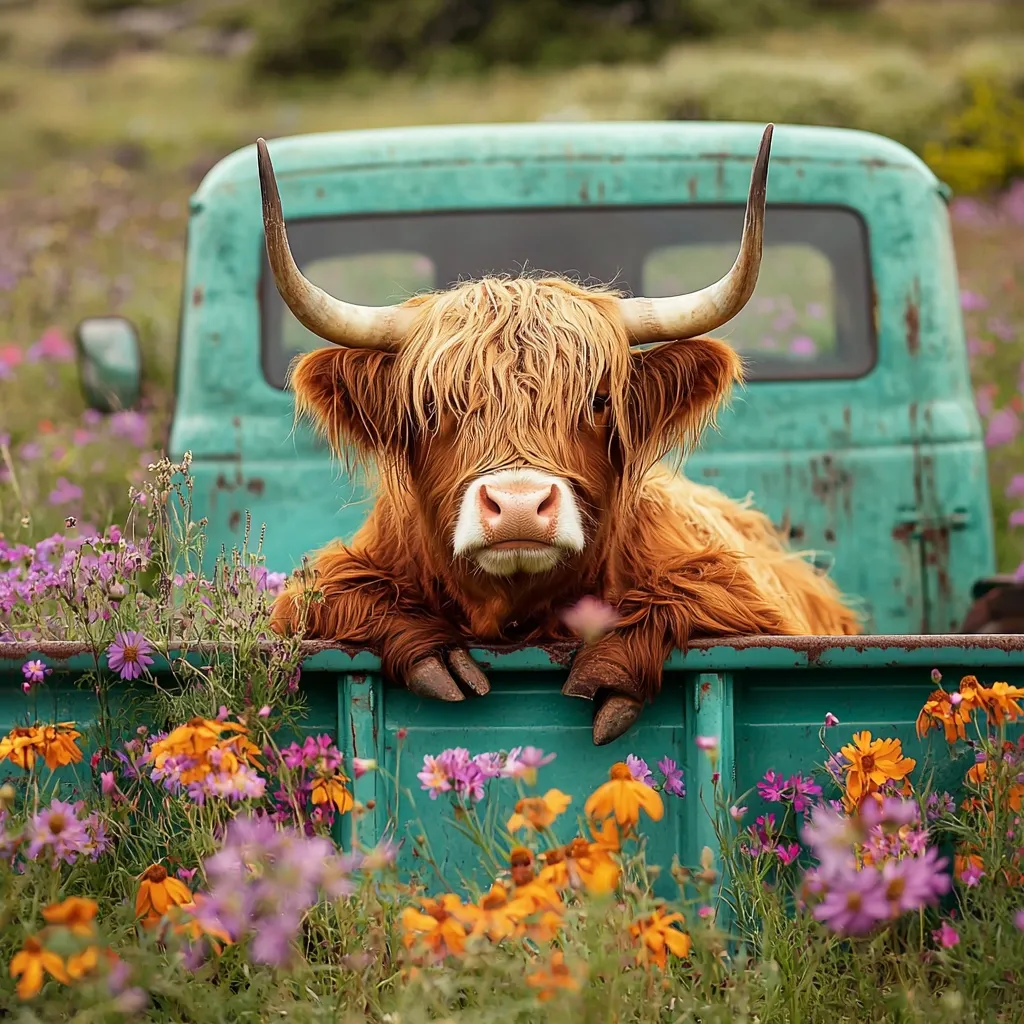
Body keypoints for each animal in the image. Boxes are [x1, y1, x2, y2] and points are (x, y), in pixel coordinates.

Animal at [258, 124, 862, 745]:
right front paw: (435, 653)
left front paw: (610, 666)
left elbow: (700, 591)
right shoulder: (320, 590)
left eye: (597, 399)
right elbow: (331, 592)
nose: (519, 506)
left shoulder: (746, 598)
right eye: (431, 406)